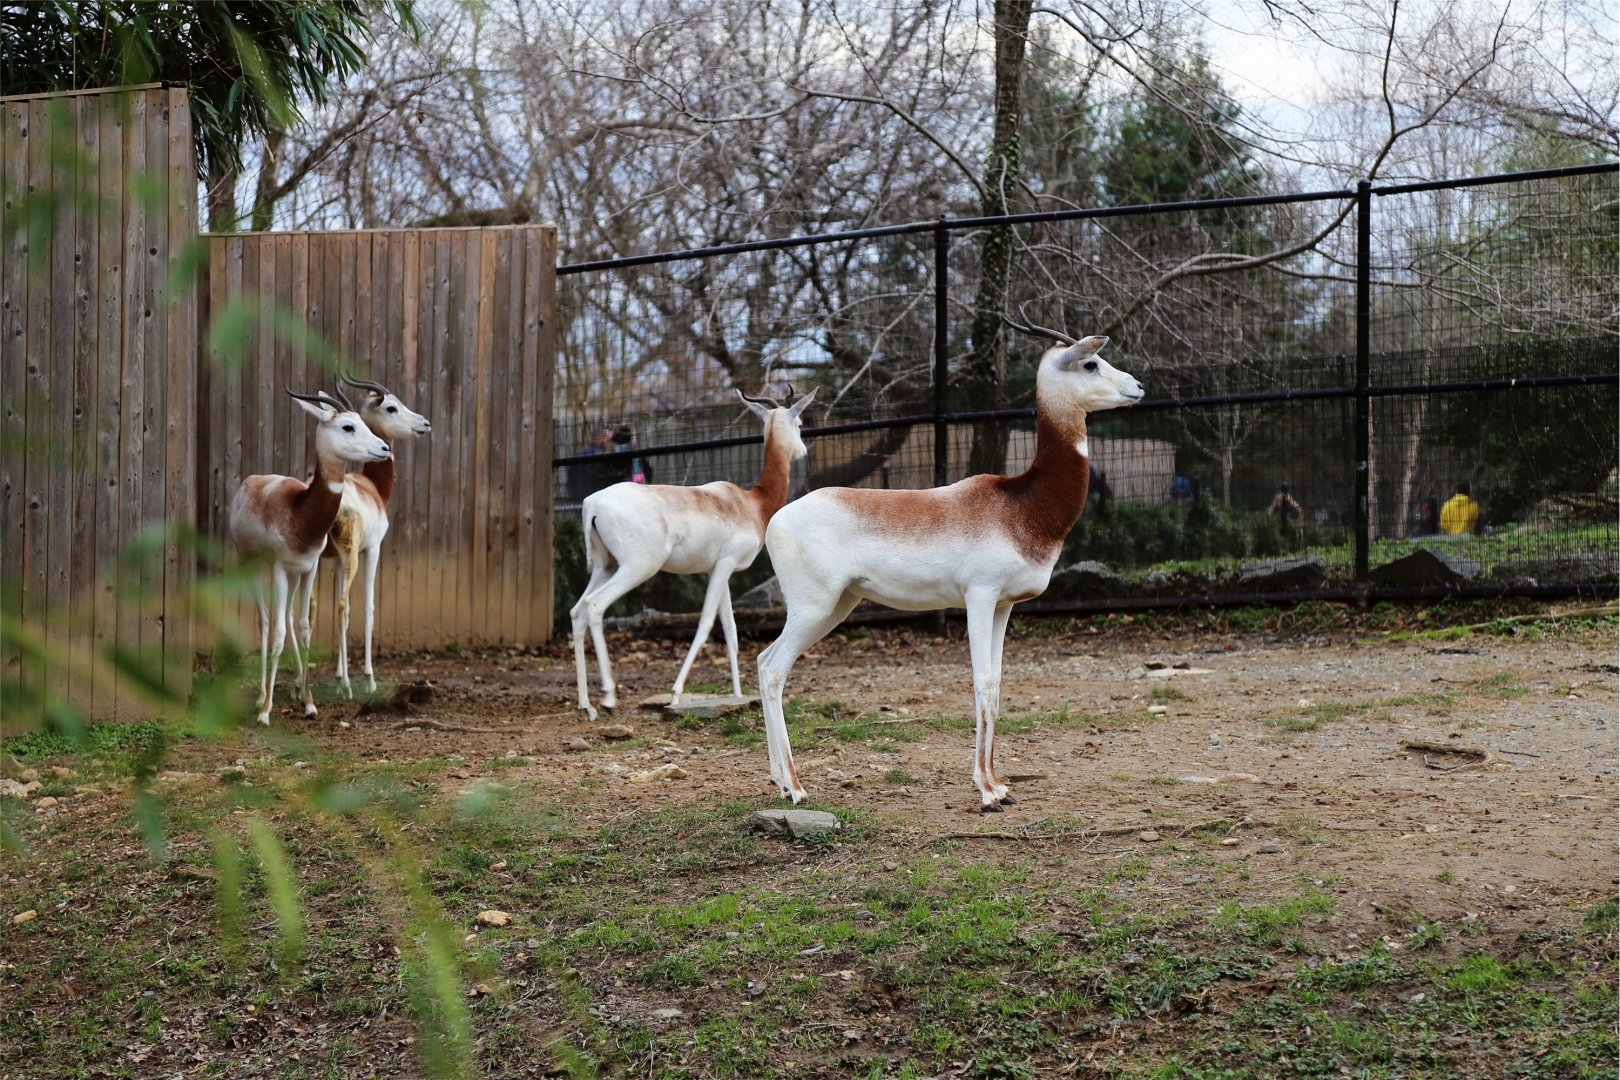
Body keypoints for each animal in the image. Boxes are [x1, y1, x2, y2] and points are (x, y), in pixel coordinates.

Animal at [228, 387, 392, 726]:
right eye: (347, 427)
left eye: (362, 421)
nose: (383, 448)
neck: (300, 512)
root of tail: (250, 482)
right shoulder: (279, 568)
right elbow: (278, 631)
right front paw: (266, 712)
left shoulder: (310, 568)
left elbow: (305, 627)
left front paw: (309, 704)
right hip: (252, 565)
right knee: (266, 620)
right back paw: (261, 697)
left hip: (293, 576)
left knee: (288, 616)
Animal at [300, 374, 432, 697]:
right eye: (391, 407)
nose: (424, 424)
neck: (372, 489)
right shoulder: (371, 550)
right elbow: (368, 606)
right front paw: (367, 678)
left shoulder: (334, 560)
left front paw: (338, 673)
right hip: (351, 559)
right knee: (342, 606)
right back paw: (347, 685)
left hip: (315, 559)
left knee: (310, 608)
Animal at [572, 388, 815, 721]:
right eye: (800, 423)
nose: (803, 450)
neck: (751, 503)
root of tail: (593, 504)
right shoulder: (725, 565)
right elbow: (705, 624)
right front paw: (676, 692)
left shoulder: (719, 569)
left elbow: (731, 630)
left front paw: (736, 693)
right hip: (638, 567)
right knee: (595, 606)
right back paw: (609, 697)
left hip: (604, 566)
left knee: (577, 611)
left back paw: (587, 705)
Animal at [755, 321, 1143, 810]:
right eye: (1091, 363)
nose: (1138, 387)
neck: (1020, 505)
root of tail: (775, 519)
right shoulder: (979, 597)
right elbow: (981, 681)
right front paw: (986, 791)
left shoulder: (1004, 605)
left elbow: (996, 685)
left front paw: (999, 784)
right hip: (814, 607)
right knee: (773, 670)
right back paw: (797, 787)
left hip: (838, 605)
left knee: (763, 661)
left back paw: (779, 781)